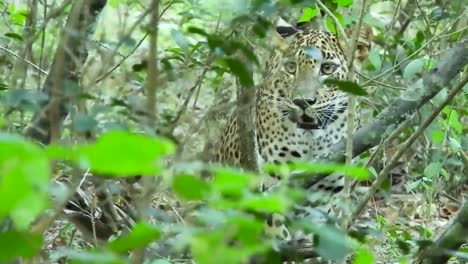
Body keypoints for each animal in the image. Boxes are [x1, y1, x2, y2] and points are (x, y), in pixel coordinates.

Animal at [210, 17, 372, 260]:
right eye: (291, 67)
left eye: (327, 68)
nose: (302, 102)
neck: (313, 141)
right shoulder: (270, 188)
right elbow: (276, 234)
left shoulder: (323, 200)